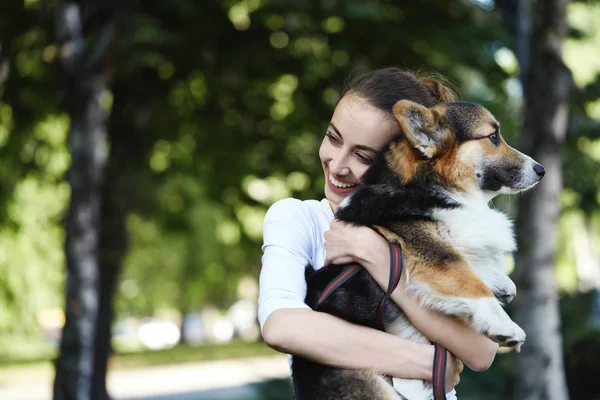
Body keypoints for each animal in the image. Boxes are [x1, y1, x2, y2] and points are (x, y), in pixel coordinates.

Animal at [290, 100, 544, 400]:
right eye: (493, 137)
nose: (541, 170)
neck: (425, 184)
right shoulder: (428, 251)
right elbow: (465, 277)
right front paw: (503, 324)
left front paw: (499, 282)